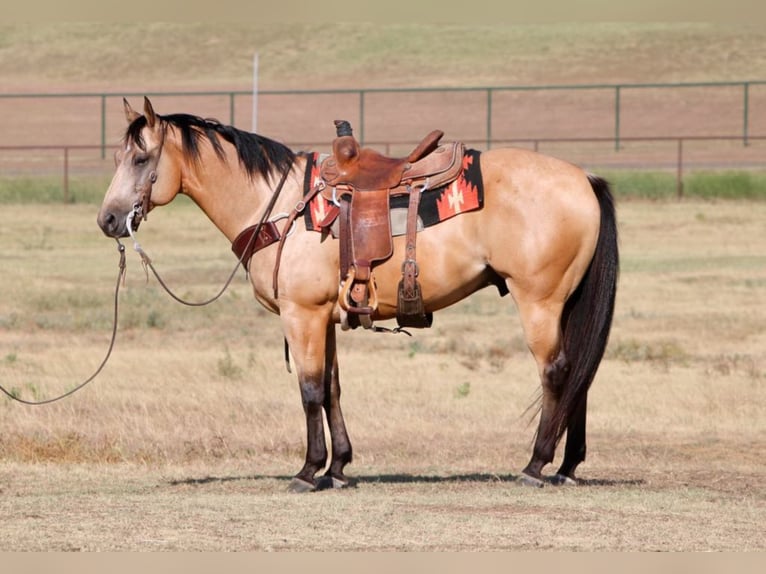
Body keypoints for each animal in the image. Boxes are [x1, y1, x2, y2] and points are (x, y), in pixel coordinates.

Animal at [99, 97, 620, 492]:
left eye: (141, 160)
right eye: (118, 159)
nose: (108, 220)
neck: (279, 205)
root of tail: (583, 179)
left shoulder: (301, 315)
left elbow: (309, 389)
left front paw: (308, 471)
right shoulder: (324, 318)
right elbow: (331, 388)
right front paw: (338, 468)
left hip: (540, 303)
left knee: (557, 372)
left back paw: (536, 465)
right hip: (565, 305)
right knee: (581, 373)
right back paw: (567, 467)